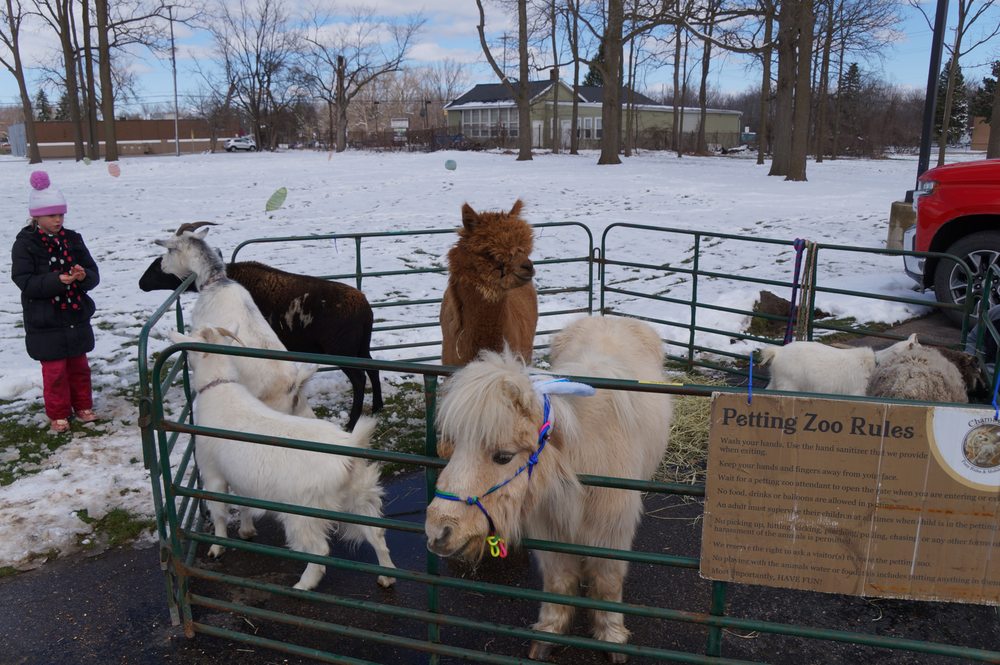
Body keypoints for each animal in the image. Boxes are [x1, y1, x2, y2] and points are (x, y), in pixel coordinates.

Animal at [425, 316, 672, 662]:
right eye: (458, 445)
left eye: (503, 456)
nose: (438, 531)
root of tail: (608, 317)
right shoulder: (551, 532)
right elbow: (559, 583)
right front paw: (548, 634)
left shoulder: (611, 533)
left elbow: (607, 583)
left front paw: (612, 636)